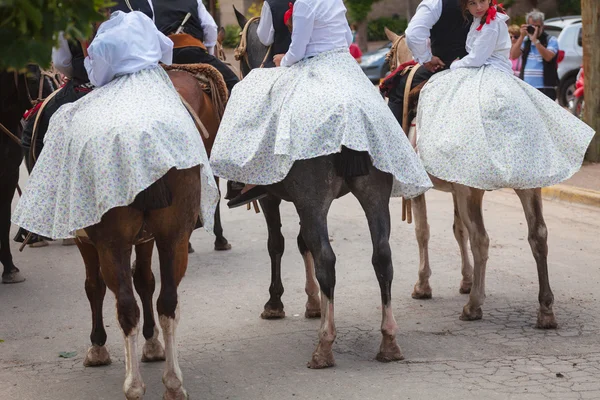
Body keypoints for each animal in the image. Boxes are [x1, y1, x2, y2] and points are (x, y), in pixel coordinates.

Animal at [69, 66, 227, 400]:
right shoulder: (149, 237)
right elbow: (145, 280)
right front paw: (153, 344)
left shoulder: (87, 240)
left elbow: (94, 286)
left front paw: (98, 346)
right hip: (174, 238)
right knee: (168, 301)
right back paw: (173, 383)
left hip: (112, 244)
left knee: (125, 307)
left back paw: (134, 386)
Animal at [232, 7, 406, 368]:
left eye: (239, 55)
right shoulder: (305, 203)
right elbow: (302, 244)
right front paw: (315, 306)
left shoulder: (277, 199)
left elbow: (278, 244)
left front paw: (277, 303)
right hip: (374, 197)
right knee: (382, 256)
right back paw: (388, 341)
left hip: (314, 201)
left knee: (327, 258)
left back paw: (325, 345)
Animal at [384, 27, 556, 328]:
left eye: (388, 56)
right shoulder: (456, 189)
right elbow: (457, 229)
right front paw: (466, 280)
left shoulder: (429, 191)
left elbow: (423, 232)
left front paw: (423, 285)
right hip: (527, 184)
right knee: (538, 235)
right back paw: (545, 309)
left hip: (473, 192)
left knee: (482, 239)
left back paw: (474, 305)